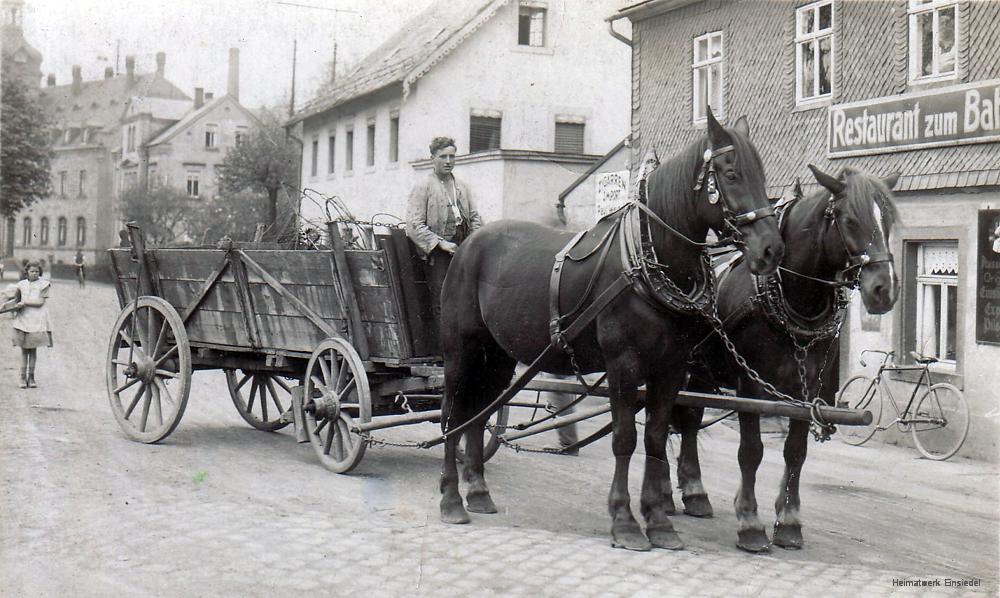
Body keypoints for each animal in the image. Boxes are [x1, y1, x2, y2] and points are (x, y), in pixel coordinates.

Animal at [440, 109, 788, 552]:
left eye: (761, 174)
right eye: (730, 174)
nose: (771, 250)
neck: (644, 260)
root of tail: (468, 243)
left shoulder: (671, 368)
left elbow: (654, 438)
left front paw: (658, 521)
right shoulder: (623, 364)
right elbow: (624, 438)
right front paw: (624, 522)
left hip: (498, 355)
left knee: (479, 411)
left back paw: (478, 491)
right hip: (460, 350)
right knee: (452, 413)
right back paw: (451, 498)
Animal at [676, 164, 904, 552]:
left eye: (886, 219)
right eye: (848, 219)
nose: (883, 290)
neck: (797, 300)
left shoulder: (806, 390)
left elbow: (796, 451)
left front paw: (789, 522)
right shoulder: (750, 387)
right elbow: (751, 451)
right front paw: (750, 523)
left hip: (704, 371)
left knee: (688, 419)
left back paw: (693, 492)